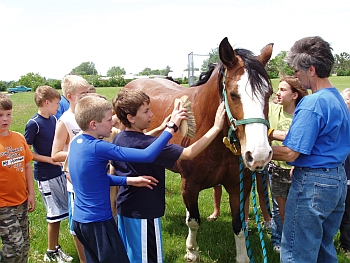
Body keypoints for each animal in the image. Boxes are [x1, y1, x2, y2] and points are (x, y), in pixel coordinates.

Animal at [123, 37, 274, 263]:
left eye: (269, 93)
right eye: (233, 94)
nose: (259, 155)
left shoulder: (238, 186)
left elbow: (239, 225)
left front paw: (243, 257)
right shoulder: (190, 185)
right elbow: (194, 220)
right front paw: (192, 251)